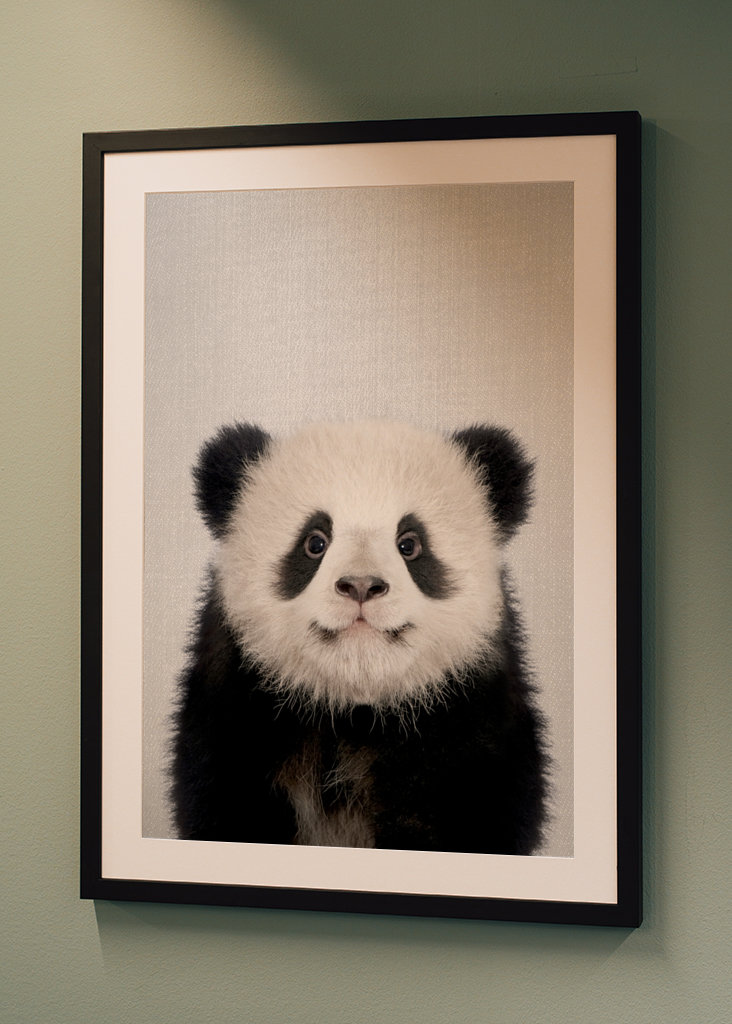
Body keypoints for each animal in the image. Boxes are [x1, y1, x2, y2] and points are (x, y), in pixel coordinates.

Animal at [171, 419, 547, 855]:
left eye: (409, 544)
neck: (354, 712)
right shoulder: (237, 712)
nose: (361, 585)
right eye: (315, 542)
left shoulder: (471, 719)